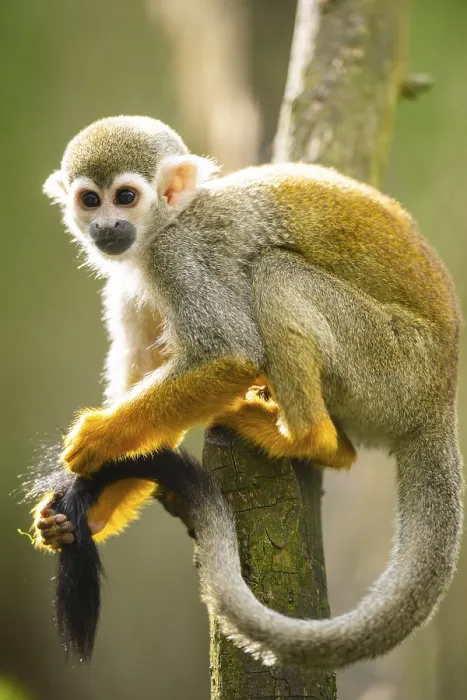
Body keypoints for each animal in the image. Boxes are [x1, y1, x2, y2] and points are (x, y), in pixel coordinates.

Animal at [31, 114, 463, 669]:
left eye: (124, 197)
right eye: (90, 200)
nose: (106, 228)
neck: (164, 226)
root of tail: (440, 398)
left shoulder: (179, 259)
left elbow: (232, 352)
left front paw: (100, 438)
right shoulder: (131, 279)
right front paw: (85, 511)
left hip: (392, 365)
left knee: (274, 272)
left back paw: (308, 438)